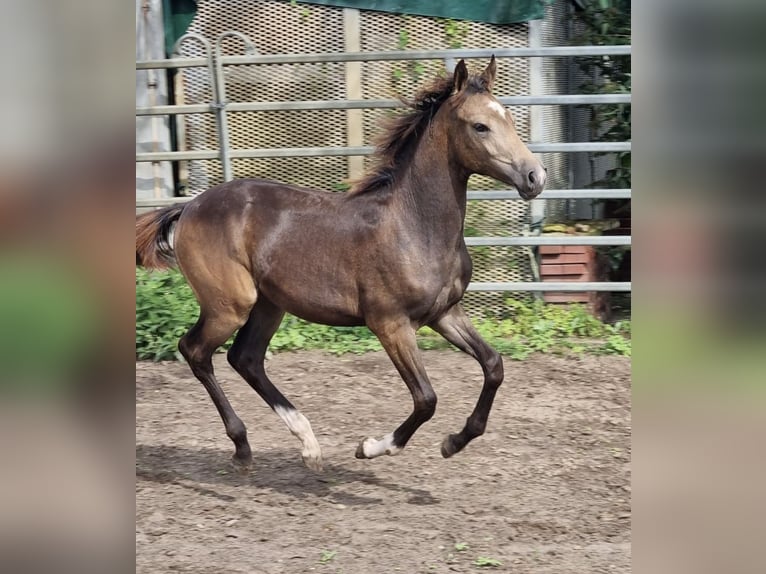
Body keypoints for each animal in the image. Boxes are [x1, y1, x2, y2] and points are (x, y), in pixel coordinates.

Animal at [138, 58, 544, 472]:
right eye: (480, 126)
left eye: (508, 117)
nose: (535, 176)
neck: (414, 225)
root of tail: (189, 206)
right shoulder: (390, 324)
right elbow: (426, 399)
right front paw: (371, 446)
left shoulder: (445, 313)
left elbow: (493, 365)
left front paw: (454, 442)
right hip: (230, 306)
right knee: (195, 351)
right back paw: (243, 445)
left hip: (270, 304)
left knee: (245, 358)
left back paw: (308, 444)